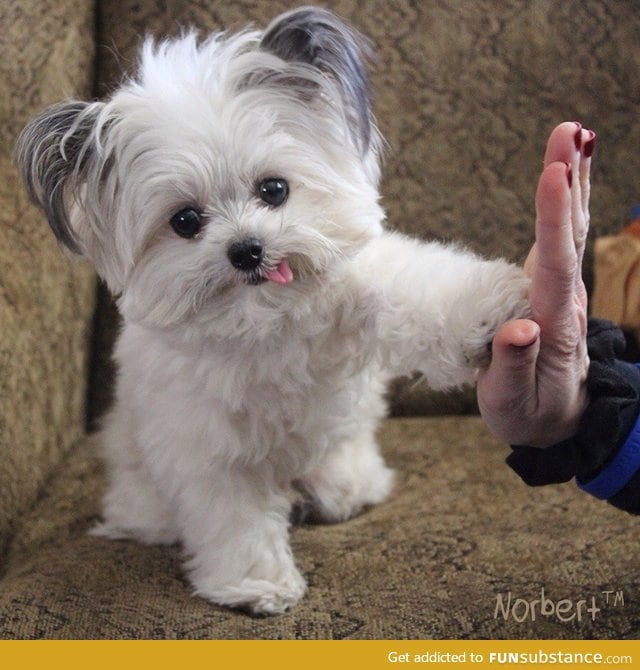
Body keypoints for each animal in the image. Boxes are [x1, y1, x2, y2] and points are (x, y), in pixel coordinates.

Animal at [18, 6, 528, 616]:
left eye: (274, 189)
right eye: (185, 221)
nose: (247, 249)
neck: (266, 321)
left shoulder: (361, 287)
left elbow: (419, 289)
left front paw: (489, 313)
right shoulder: (210, 451)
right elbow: (237, 522)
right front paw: (255, 584)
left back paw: (342, 488)